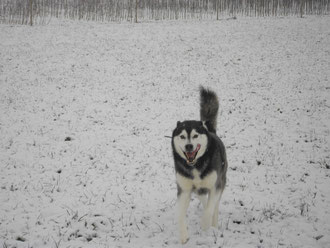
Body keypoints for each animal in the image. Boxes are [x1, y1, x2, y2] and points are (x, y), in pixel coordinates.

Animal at [171, 86, 228, 243]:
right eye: (182, 136)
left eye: (195, 135)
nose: (189, 146)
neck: (195, 165)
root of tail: (210, 129)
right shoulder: (184, 190)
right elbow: (179, 214)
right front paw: (183, 236)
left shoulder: (215, 185)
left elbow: (209, 209)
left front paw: (205, 224)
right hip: (198, 189)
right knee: (203, 198)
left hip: (221, 179)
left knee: (214, 206)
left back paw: (213, 224)